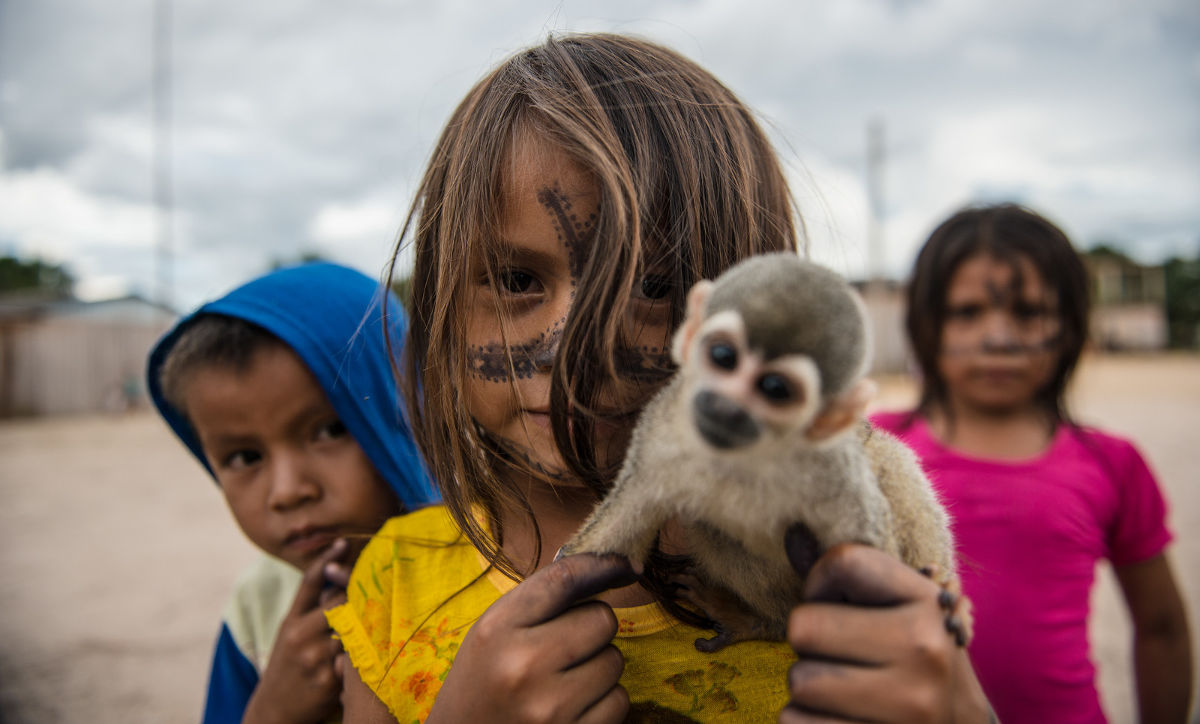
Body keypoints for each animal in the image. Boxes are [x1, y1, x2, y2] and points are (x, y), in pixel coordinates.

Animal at [561, 252, 967, 652]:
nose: (725, 406)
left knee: (888, 458)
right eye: (723, 356)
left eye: (775, 389)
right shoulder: (664, 421)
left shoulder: (834, 468)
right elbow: (621, 529)